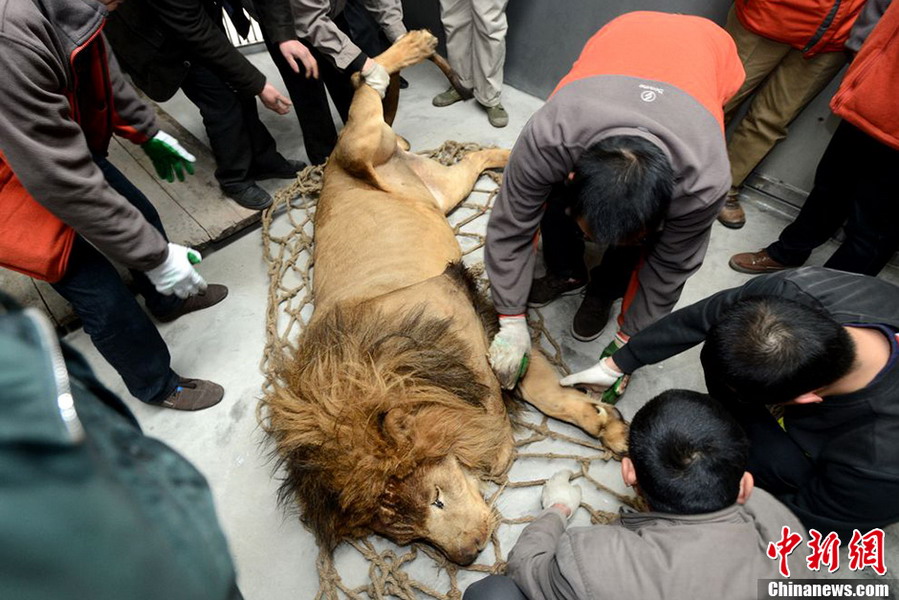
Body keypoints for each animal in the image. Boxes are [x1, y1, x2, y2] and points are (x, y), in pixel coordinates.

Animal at [256, 31, 628, 568]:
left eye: (436, 498)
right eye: (407, 537)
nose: (469, 555)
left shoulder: (465, 313)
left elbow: (506, 399)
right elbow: (536, 391)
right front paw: (605, 423)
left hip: (361, 147)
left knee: (365, 89)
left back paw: (410, 46)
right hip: (446, 189)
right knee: (473, 158)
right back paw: (510, 154)